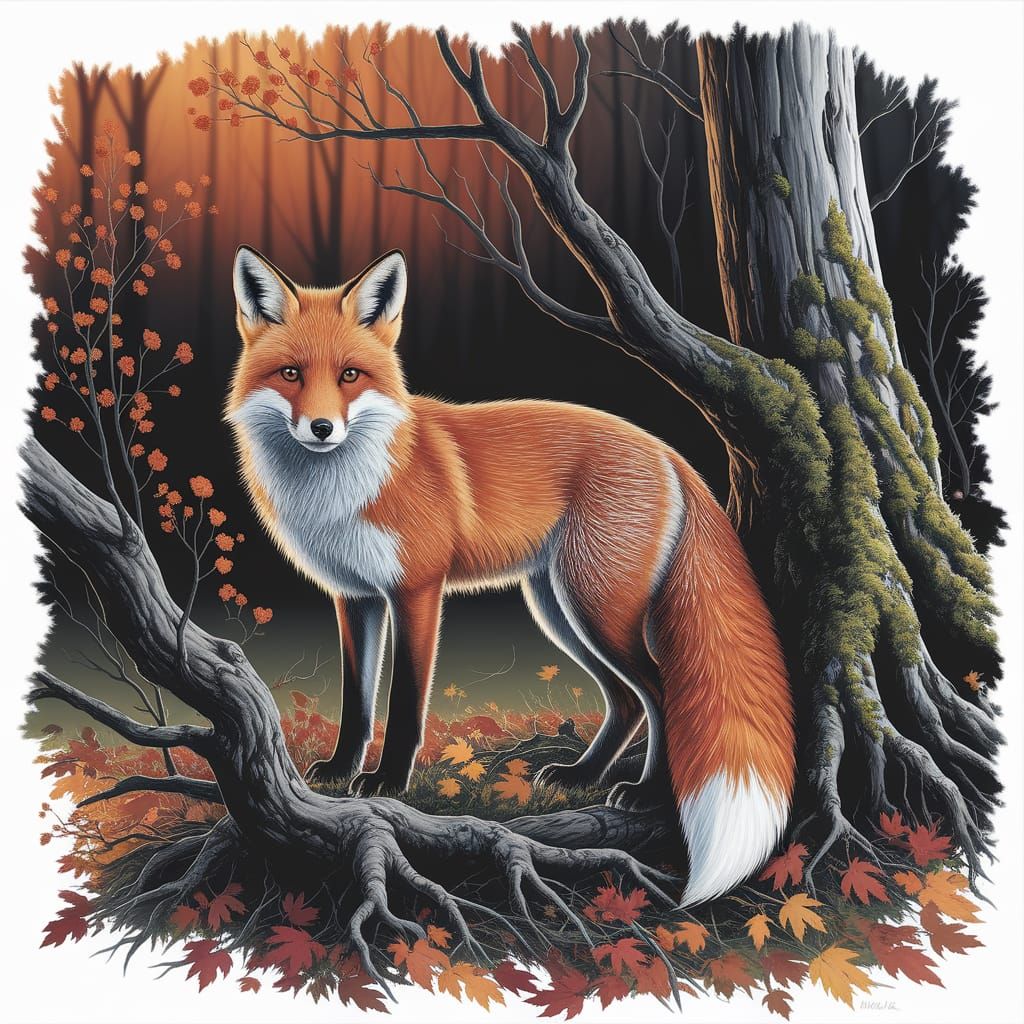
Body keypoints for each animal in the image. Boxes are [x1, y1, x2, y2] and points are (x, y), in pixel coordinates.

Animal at [225, 245, 796, 905]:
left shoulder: (416, 591)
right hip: (558, 607)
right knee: (626, 700)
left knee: (657, 690)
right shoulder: (354, 597)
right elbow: (358, 701)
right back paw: (580, 775)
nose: (322, 429)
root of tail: (665, 450)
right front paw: (342, 771)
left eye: (349, 376)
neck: (344, 489)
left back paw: (644, 792)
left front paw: (388, 781)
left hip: (594, 606)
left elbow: (405, 701)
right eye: (291, 374)